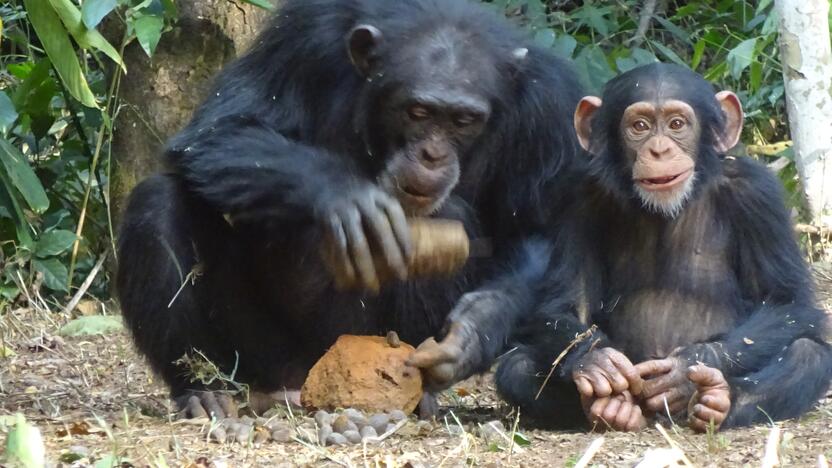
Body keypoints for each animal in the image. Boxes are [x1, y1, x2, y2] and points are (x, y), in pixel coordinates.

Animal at [115, 0, 584, 416]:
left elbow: (538, 230)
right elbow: (219, 130)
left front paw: (472, 332)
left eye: (463, 121)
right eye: (418, 111)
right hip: (257, 355)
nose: (432, 155)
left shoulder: (548, 105)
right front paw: (346, 197)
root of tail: (302, 383)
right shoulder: (302, 38)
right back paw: (201, 390)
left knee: (450, 216)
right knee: (157, 203)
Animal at [498, 63, 832, 432]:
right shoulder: (578, 195)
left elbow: (787, 301)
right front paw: (597, 360)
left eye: (676, 124)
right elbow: (567, 303)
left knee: (808, 354)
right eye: (640, 127)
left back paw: (717, 399)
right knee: (515, 366)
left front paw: (685, 369)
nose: (659, 150)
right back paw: (610, 408)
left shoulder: (758, 194)